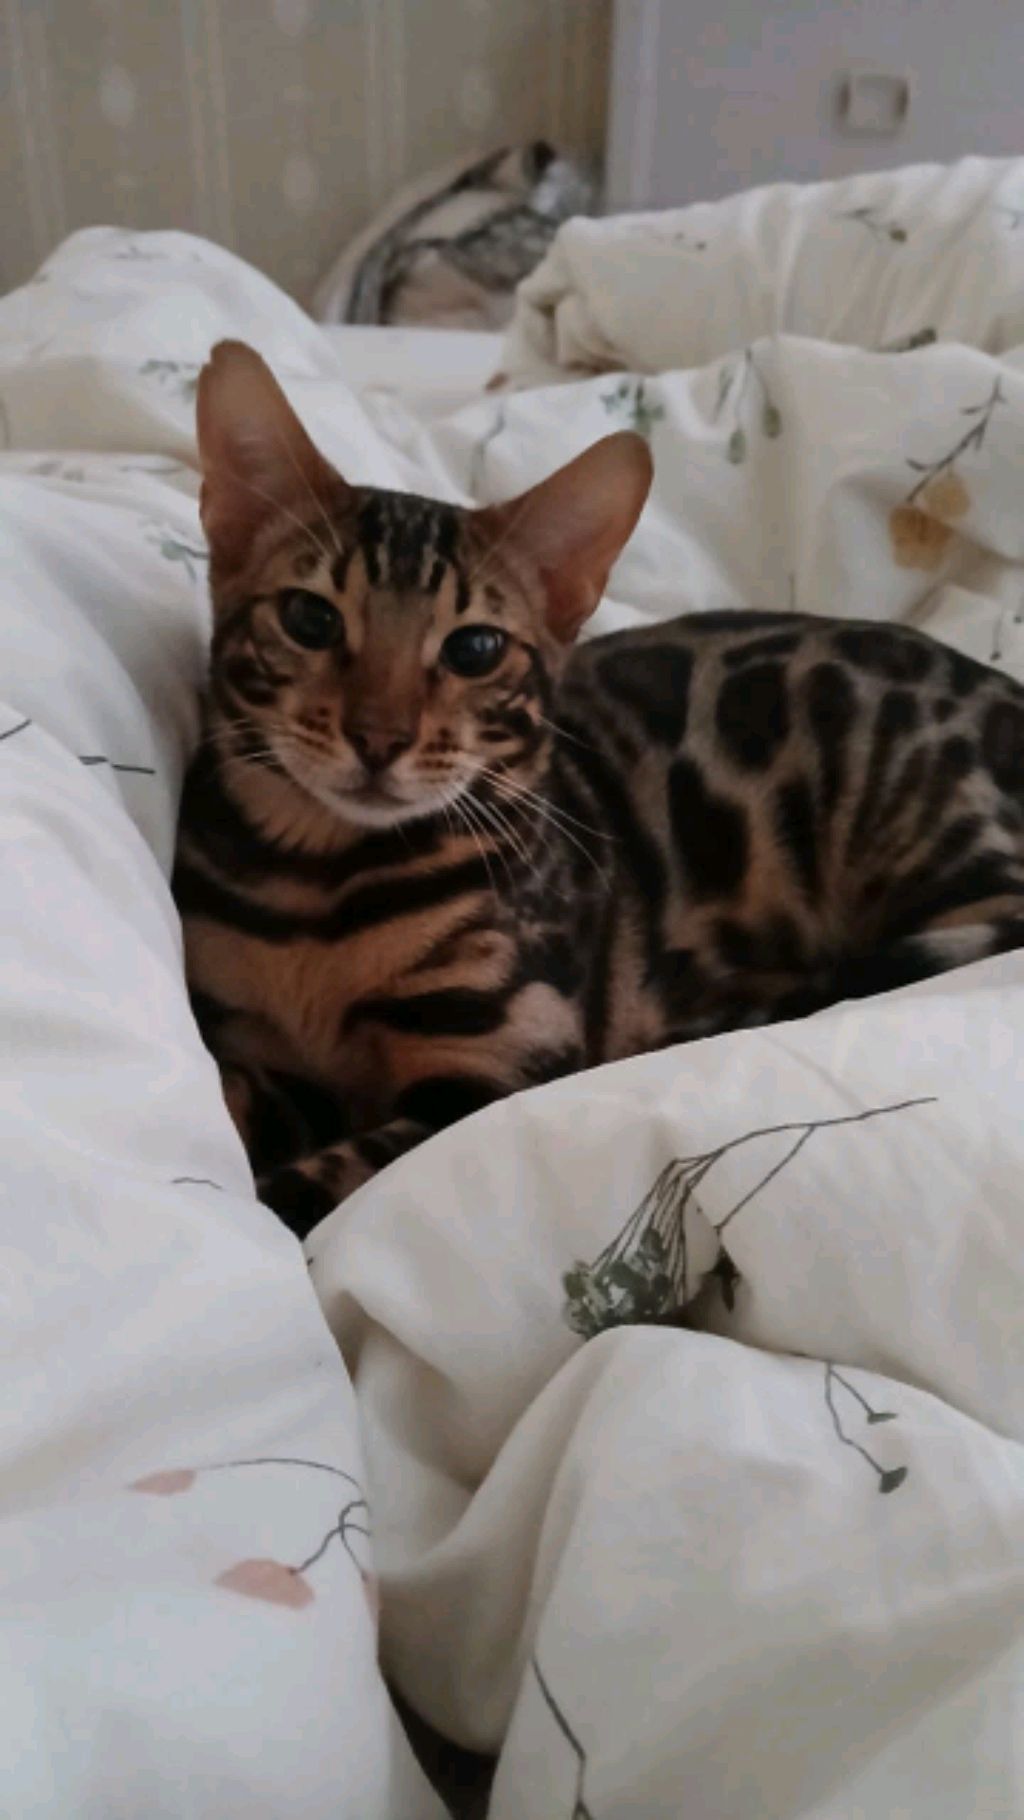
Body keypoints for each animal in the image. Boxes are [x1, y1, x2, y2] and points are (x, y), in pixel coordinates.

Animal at [174, 339, 1024, 1237]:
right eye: (310, 619)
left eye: (475, 648)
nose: (379, 738)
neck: (319, 887)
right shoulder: (259, 1049)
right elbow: (232, 1100)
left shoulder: (489, 1079)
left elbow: (320, 1182)